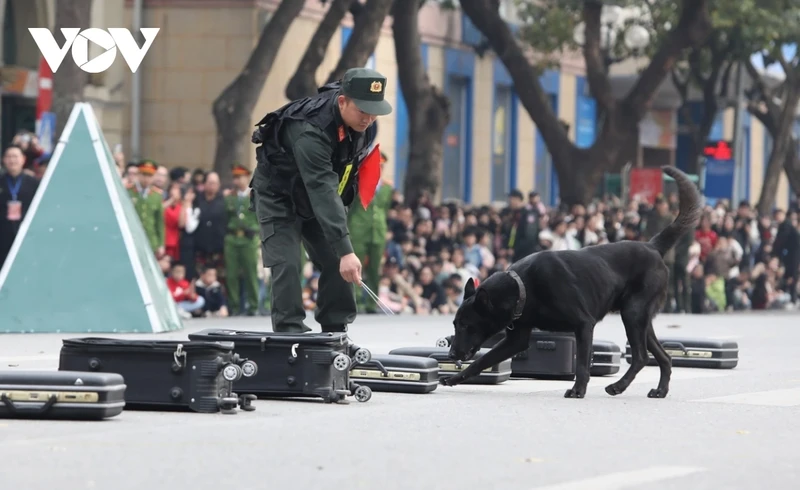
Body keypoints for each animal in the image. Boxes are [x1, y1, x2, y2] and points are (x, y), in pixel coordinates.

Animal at [444, 167, 700, 400]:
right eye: (454, 324)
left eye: (466, 325)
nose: (451, 354)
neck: (521, 287)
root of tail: (652, 246)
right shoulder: (516, 340)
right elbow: (482, 360)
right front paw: (456, 378)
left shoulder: (584, 325)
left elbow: (582, 365)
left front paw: (578, 390)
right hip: (641, 321)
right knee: (664, 357)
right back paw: (660, 390)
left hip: (632, 314)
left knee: (641, 356)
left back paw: (618, 386)